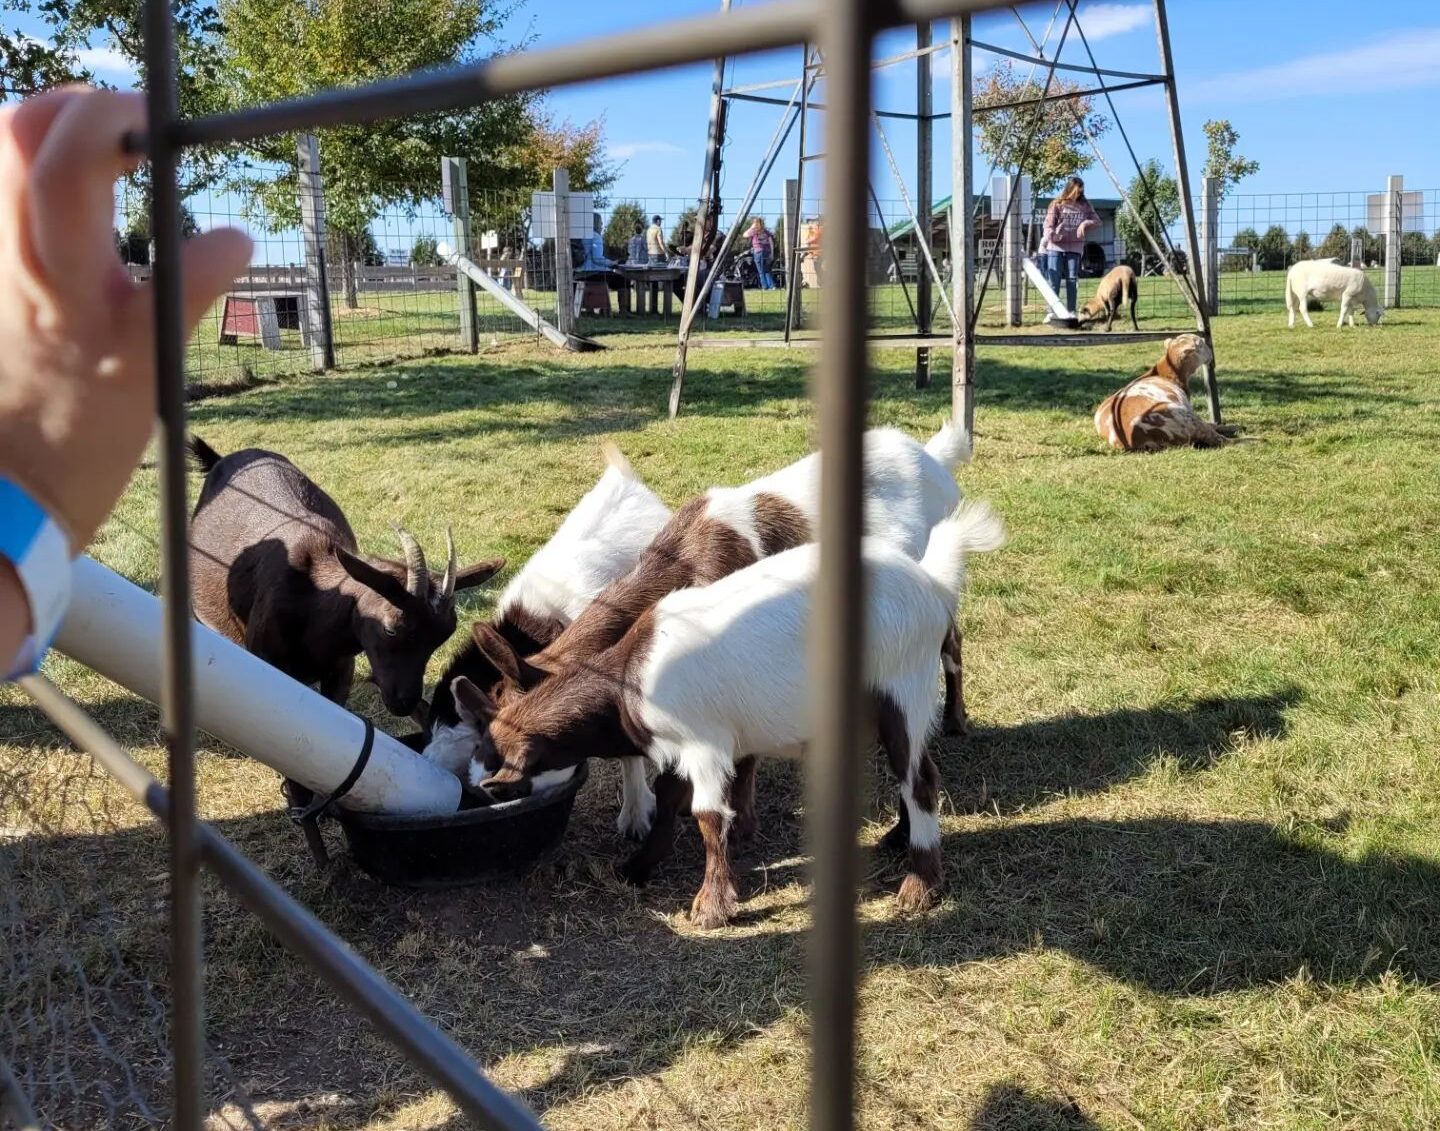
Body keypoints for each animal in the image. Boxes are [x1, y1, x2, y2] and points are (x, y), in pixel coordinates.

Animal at [460, 504, 1002, 927]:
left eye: (496, 771)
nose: (470, 795)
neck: (628, 678)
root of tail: (931, 583)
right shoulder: (677, 748)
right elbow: (668, 796)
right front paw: (637, 866)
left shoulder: (705, 743)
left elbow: (707, 815)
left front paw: (711, 906)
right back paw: (896, 836)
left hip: (902, 690)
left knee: (920, 779)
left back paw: (920, 887)